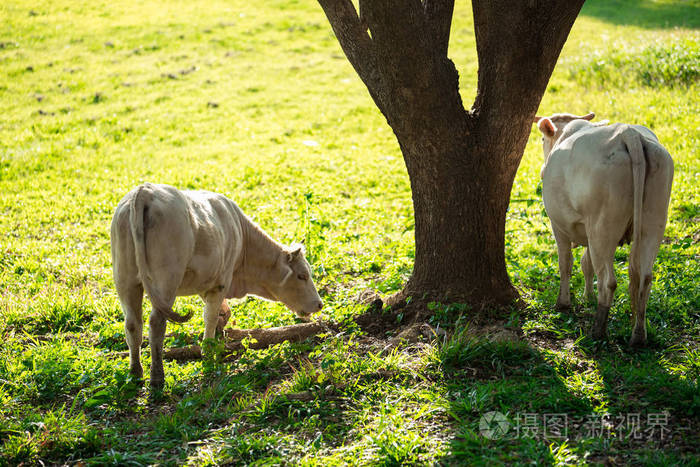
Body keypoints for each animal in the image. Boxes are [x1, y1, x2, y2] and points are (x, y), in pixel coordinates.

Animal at [110, 183, 324, 388]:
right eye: (302, 276)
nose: (319, 304)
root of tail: (145, 191)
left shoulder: (208, 284)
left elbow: (223, 312)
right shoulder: (221, 282)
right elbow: (210, 317)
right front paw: (208, 354)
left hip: (125, 281)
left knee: (132, 325)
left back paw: (135, 373)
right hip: (166, 283)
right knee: (156, 324)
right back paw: (156, 377)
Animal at [536, 112, 672, 348]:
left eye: (543, 139)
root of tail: (629, 133)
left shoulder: (559, 226)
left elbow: (566, 264)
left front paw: (563, 303)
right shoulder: (587, 232)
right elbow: (587, 264)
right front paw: (587, 297)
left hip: (602, 228)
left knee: (608, 281)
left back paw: (598, 330)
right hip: (653, 223)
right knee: (644, 278)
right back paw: (638, 335)